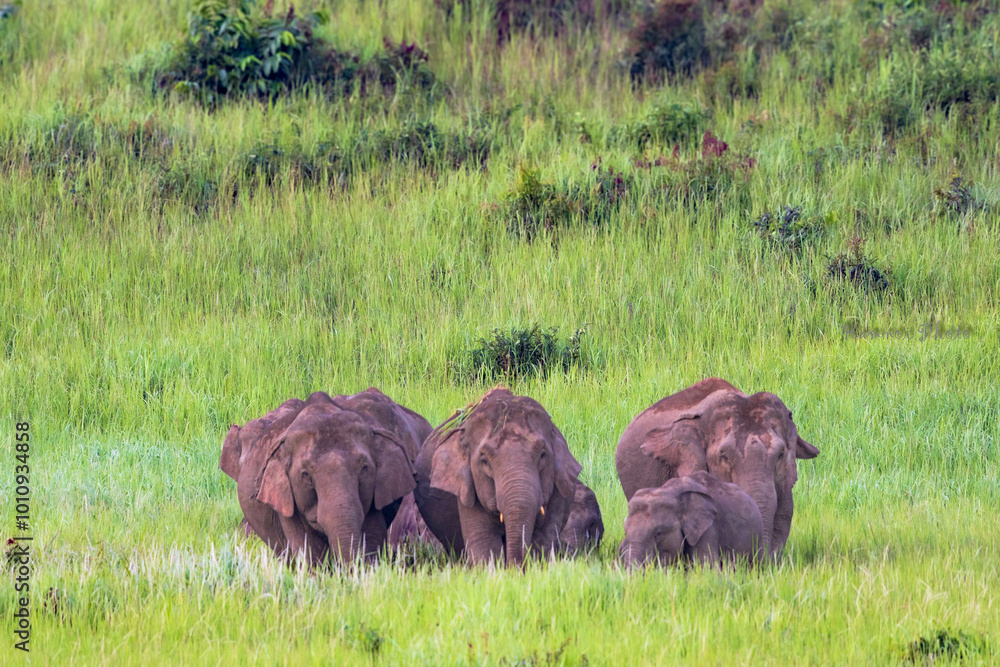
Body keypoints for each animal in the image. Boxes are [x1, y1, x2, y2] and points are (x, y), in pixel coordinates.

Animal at [416, 384, 584, 568]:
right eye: (484, 461)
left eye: (542, 455)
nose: (513, 568)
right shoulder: (468, 492)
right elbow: (484, 544)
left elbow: (544, 540)